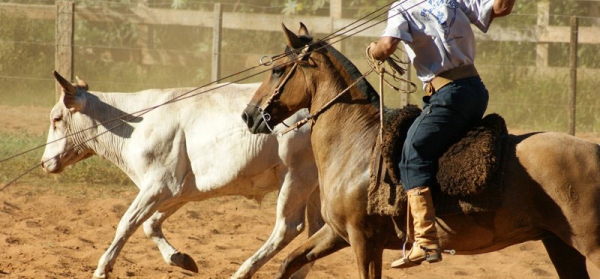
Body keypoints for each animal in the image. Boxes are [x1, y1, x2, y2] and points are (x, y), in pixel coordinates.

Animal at [41, 72, 324, 279]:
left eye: (57, 118)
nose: (44, 162)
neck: (134, 124)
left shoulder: (158, 185)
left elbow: (127, 223)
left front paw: (102, 269)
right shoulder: (180, 190)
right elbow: (150, 224)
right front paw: (181, 259)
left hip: (296, 176)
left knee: (288, 228)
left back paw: (243, 272)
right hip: (316, 186)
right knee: (317, 229)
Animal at [241, 24, 596, 279]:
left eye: (277, 70)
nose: (248, 115)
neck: (355, 142)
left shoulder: (364, 240)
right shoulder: (338, 233)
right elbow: (289, 261)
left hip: (590, 245)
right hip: (562, 245)